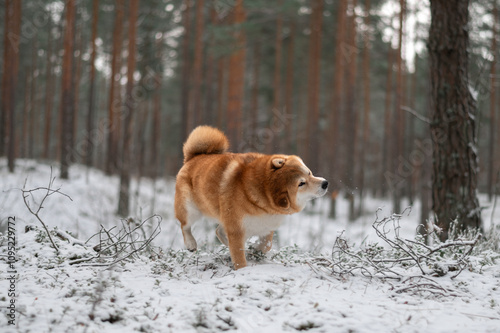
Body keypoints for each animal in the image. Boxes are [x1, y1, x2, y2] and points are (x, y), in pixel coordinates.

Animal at [174, 126, 330, 268]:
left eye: (309, 173)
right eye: (301, 183)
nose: (325, 183)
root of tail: (194, 157)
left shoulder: (266, 225)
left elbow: (266, 244)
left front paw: (255, 251)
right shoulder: (236, 229)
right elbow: (239, 257)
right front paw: (243, 269)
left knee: (218, 231)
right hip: (190, 210)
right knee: (185, 226)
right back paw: (191, 243)